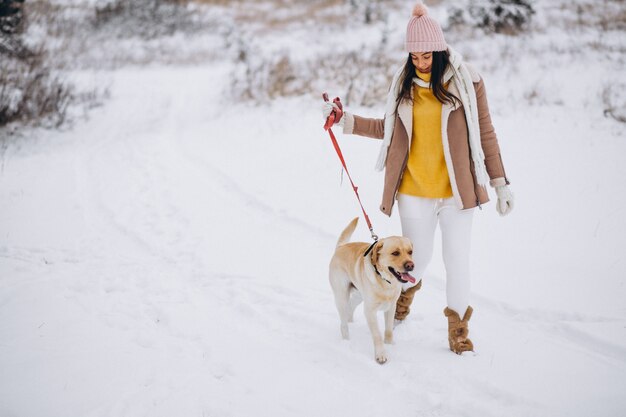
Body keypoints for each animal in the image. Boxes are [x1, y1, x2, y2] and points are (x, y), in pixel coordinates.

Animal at [326, 216, 414, 362]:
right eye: (395, 253)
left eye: (410, 252)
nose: (411, 265)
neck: (386, 281)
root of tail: (341, 247)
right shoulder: (370, 311)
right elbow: (377, 334)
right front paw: (381, 354)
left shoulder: (391, 307)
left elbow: (388, 330)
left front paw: (390, 345)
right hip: (341, 296)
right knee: (343, 323)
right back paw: (346, 341)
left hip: (359, 295)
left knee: (351, 306)